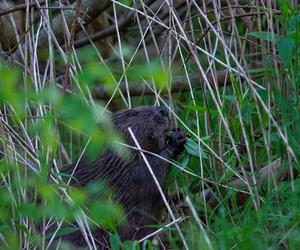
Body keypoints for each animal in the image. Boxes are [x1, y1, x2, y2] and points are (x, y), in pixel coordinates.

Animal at [60, 105, 186, 248]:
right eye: (133, 113)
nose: (163, 110)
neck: (109, 162)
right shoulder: (121, 175)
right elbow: (149, 171)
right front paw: (176, 139)